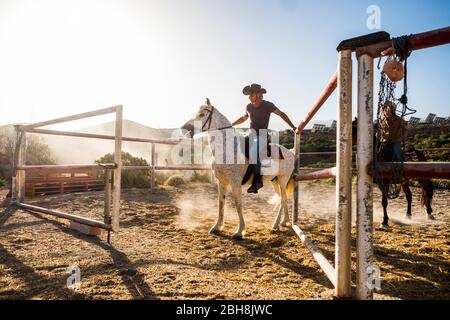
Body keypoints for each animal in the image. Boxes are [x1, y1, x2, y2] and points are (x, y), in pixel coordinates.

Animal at [181, 99, 298, 239]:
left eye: (202, 115)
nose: (184, 128)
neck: (228, 148)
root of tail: (290, 152)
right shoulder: (222, 182)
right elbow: (221, 203)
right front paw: (217, 227)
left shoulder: (235, 182)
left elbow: (238, 204)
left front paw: (239, 231)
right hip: (275, 182)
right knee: (282, 199)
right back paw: (284, 221)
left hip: (282, 180)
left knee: (283, 199)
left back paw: (275, 224)